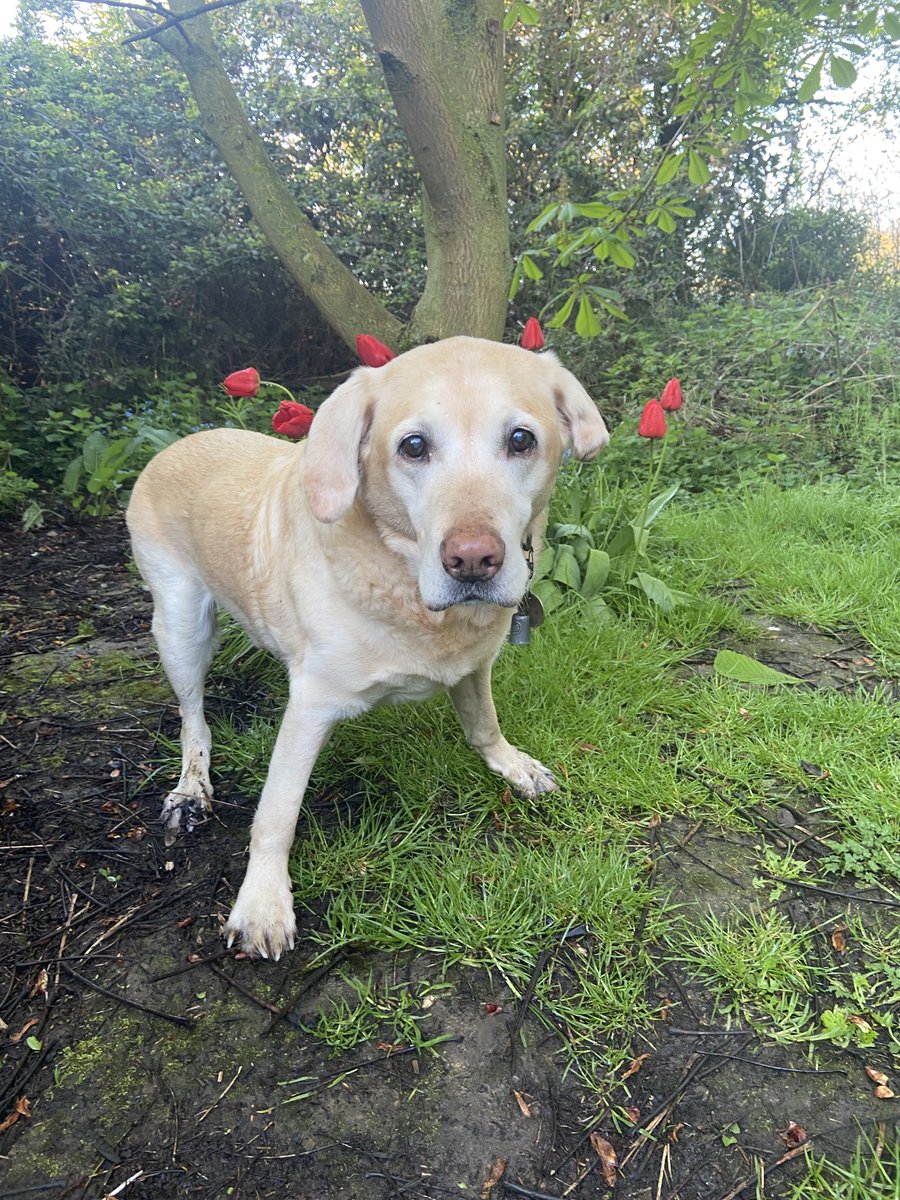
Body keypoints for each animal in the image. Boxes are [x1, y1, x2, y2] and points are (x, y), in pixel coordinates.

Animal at [128, 336, 607, 955]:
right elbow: (277, 812)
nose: (473, 560)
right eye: (413, 446)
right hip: (182, 625)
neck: (402, 579)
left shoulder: (473, 664)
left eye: (521, 439)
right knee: (193, 719)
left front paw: (511, 764)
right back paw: (191, 787)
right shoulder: (310, 706)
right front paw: (262, 902)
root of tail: (180, 441)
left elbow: (484, 723)